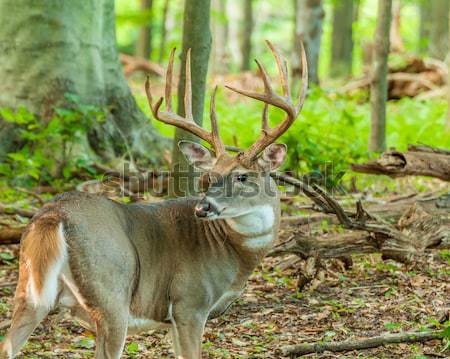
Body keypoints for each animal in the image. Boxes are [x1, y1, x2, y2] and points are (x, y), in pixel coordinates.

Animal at [0, 40, 308, 358]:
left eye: (243, 176)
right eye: (210, 176)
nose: (203, 207)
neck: (234, 253)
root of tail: (54, 216)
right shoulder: (189, 303)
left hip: (28, 291)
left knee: (7, 345)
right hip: (112, 294)